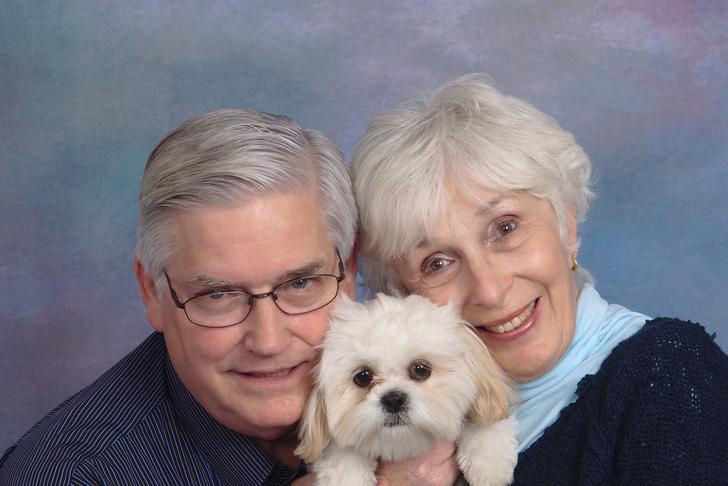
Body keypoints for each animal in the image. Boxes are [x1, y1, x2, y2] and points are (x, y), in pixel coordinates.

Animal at [296, 293, 518, 486]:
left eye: (420, 369)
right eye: (362, 376)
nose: (393, 399)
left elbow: (484, 421)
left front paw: (489, 462)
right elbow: (341, 448)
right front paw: (348, 474)